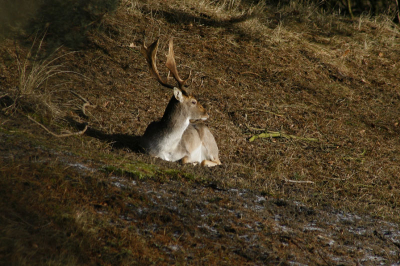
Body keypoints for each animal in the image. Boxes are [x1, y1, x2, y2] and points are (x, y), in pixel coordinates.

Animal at [140, 38, 222, 166]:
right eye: (193, 101)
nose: (206, 113)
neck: (165, 148)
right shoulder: (146, 149)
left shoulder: (187, 151)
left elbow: (184, 159)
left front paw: (194, 162)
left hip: (211, 146)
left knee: (217, 161)